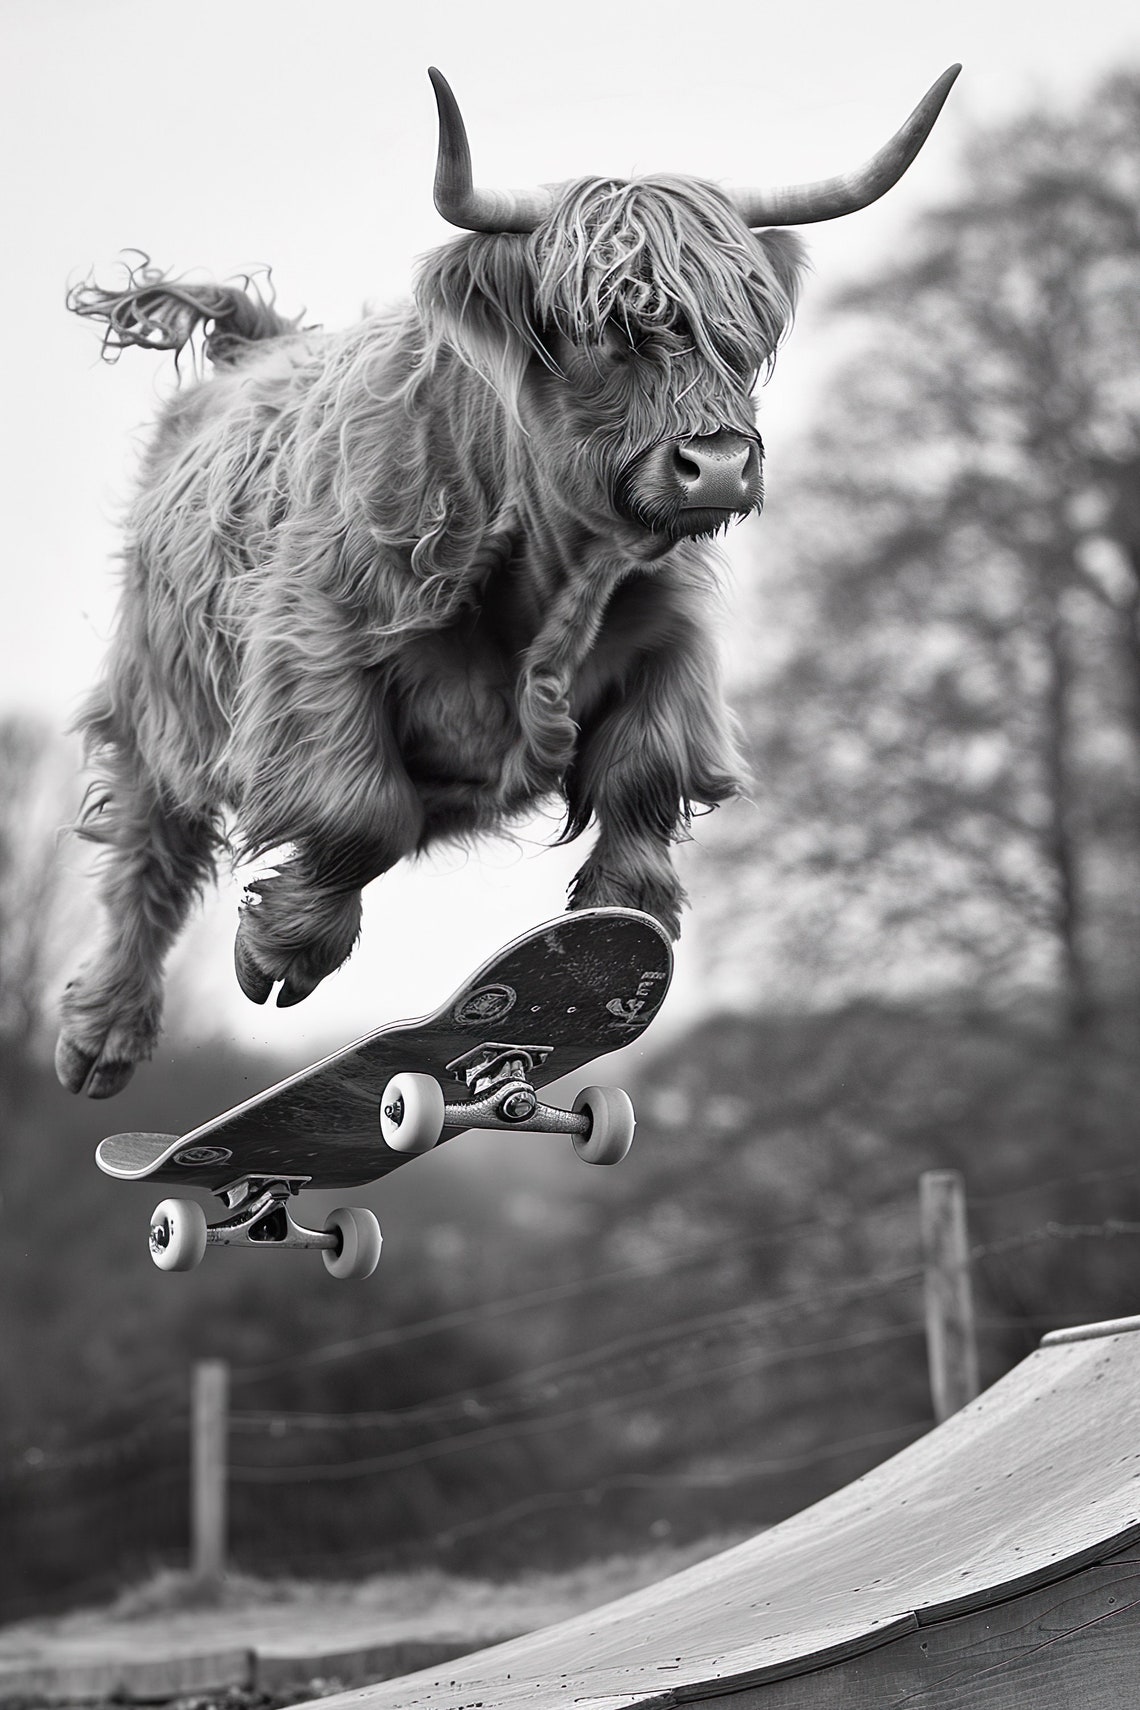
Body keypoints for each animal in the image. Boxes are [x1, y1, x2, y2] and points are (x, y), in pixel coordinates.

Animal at [56, 65, 959, 1098]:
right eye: (605, 329)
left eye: (742, 332)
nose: (719, 467)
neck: (552, 570)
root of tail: (258, 344)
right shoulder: (313, 648)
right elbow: (360, 809)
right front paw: (279, 949)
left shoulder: (675, 646)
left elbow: (646, 770)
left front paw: (620, 928)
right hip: (155, 695)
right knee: (148, 848)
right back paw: (101, 1037)